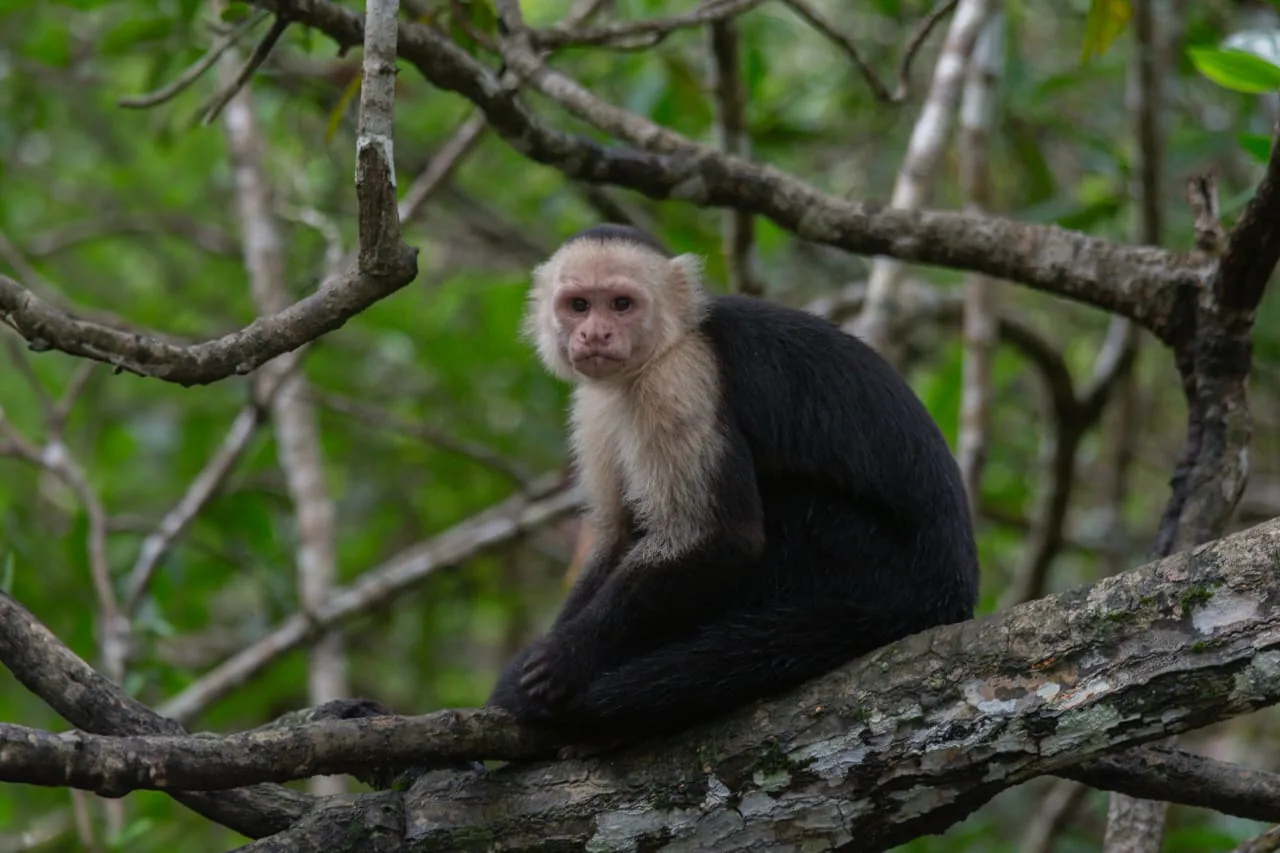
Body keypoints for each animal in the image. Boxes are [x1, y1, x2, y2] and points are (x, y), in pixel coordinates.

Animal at [487, 224, 980, 749]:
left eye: (622, 304)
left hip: (869, 561)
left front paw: (569, 656)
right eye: (578, 305)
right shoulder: (596, 406)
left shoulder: (679, 383)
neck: (668, 344)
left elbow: (721, 536)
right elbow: (619, 533)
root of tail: (949, 592)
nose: (595, 333)